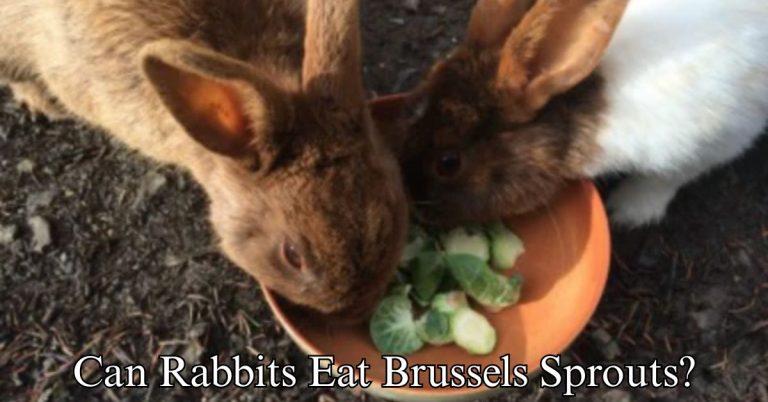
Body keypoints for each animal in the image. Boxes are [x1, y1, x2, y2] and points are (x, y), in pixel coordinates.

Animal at [397, 0, 768, 228]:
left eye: (449, 162)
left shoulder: (724, 135)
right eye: (416, 114)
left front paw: (627, 211)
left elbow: (669, 177)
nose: (412, 201)